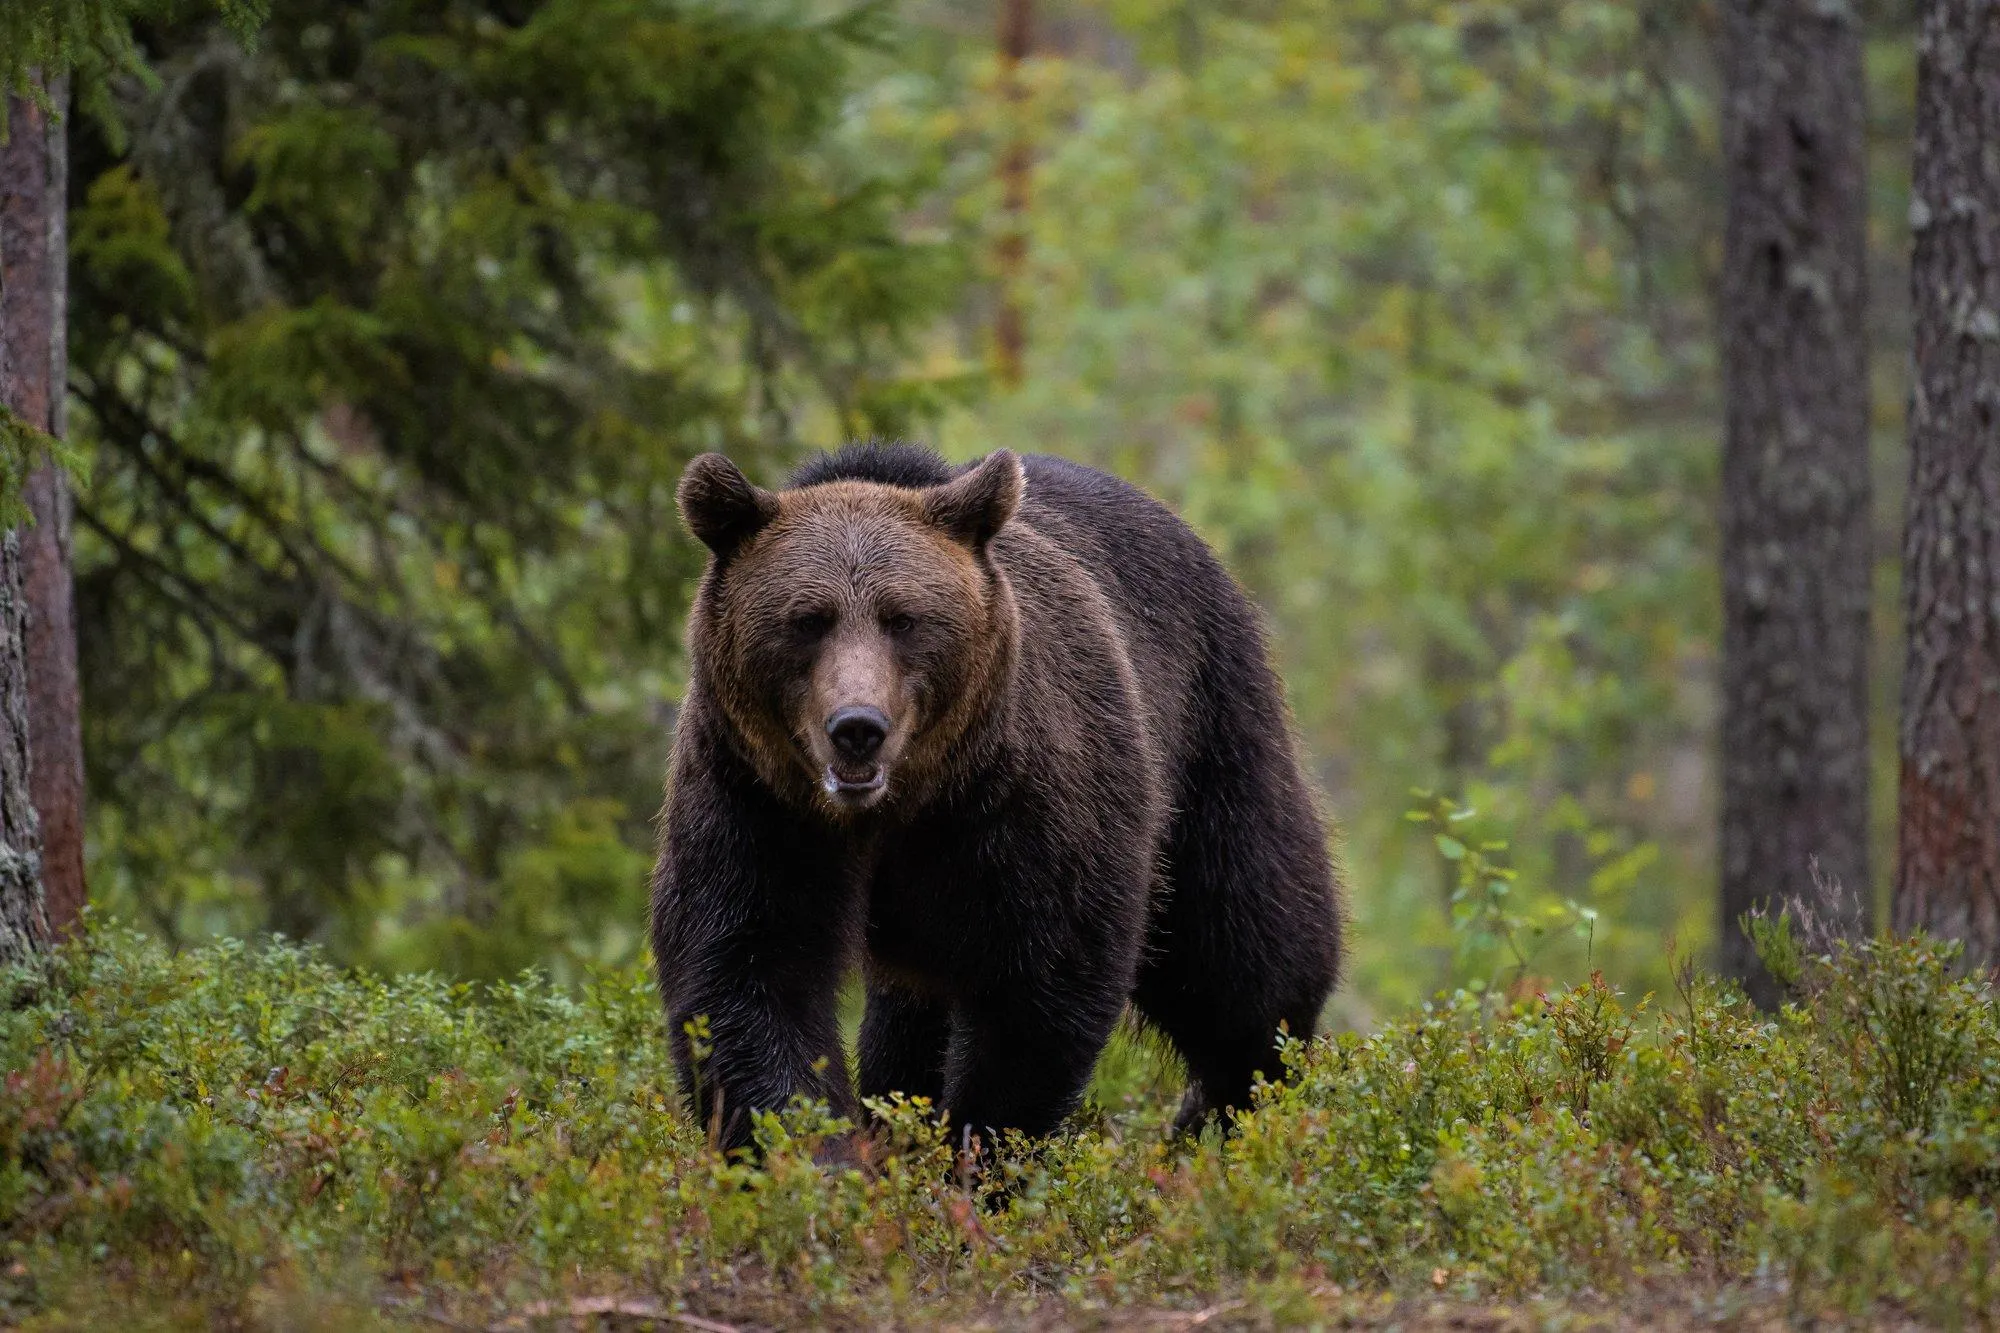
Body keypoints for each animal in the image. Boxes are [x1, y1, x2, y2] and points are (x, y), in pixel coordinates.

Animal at [656, 440, 1344, 1144]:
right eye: (808, 619)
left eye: (903, 618)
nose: (857, 728)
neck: (901, 806)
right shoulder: (757, 801)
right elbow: (750, 973)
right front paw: (818, 1148)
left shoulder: (1021, 802)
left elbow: (1039, 988)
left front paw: (981, 1145)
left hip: (1211, 733)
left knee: (1242, 949)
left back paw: (1242, 1104)